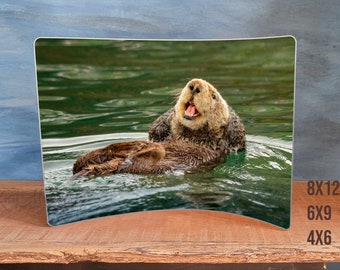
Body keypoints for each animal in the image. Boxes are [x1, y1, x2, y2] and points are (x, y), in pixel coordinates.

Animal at [71, 78, 244, 177]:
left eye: (214, 96)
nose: (195, 85)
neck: (190, 136)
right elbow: (157, 128)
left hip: (148, 167)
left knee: (144, 157)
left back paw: (138, 147)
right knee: (83, 161)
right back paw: (132, 146)